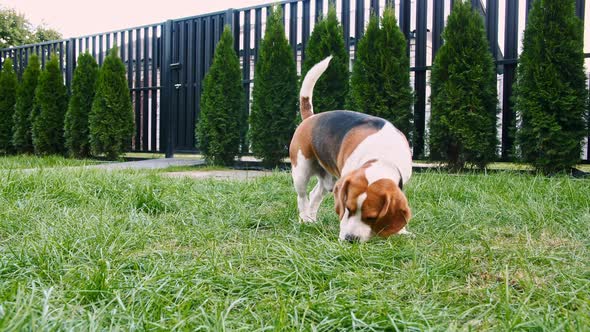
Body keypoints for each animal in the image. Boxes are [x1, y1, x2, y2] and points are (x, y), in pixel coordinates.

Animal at [290, 55, 414, 243]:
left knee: (315, 194)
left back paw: (312, 220)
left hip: (329, 181)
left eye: (372, 217)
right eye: (348, 209)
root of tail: (311, 117)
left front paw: (401, 231)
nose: (350, 239)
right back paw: (304, 219)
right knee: (302, 197)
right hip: (301, 171)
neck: (381, 156)